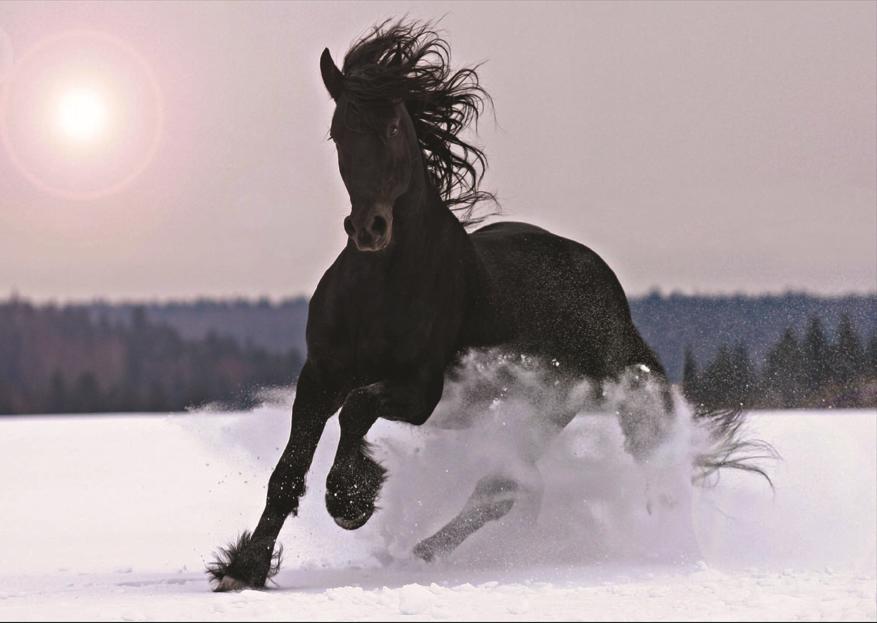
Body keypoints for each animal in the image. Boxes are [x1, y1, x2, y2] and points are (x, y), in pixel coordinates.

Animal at [208, 20, 769, 591]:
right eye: (338, 132)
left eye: (393, 128)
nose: (369, 229)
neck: (382, 285)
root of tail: (608, 290)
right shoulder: (321, 375)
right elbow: (288, 470)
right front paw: (244, 568)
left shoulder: (421, 390)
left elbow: (358, 409)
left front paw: (350, 499)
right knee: (508, 487)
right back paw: (432, 551)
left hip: (549, 405)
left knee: (504, 486)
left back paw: (426, 552)